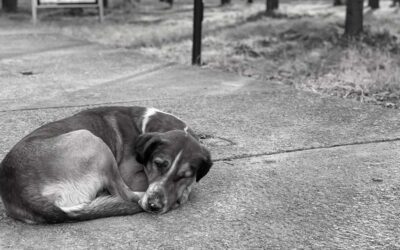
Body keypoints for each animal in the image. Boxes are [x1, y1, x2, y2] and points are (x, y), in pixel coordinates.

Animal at [0, 106, 212, 224]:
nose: (154, 206)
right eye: (158, 164)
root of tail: (22, 191)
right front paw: (182, 195)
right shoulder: (132, 176)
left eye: (184, 175)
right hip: (93, 141)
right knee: (125, 194)